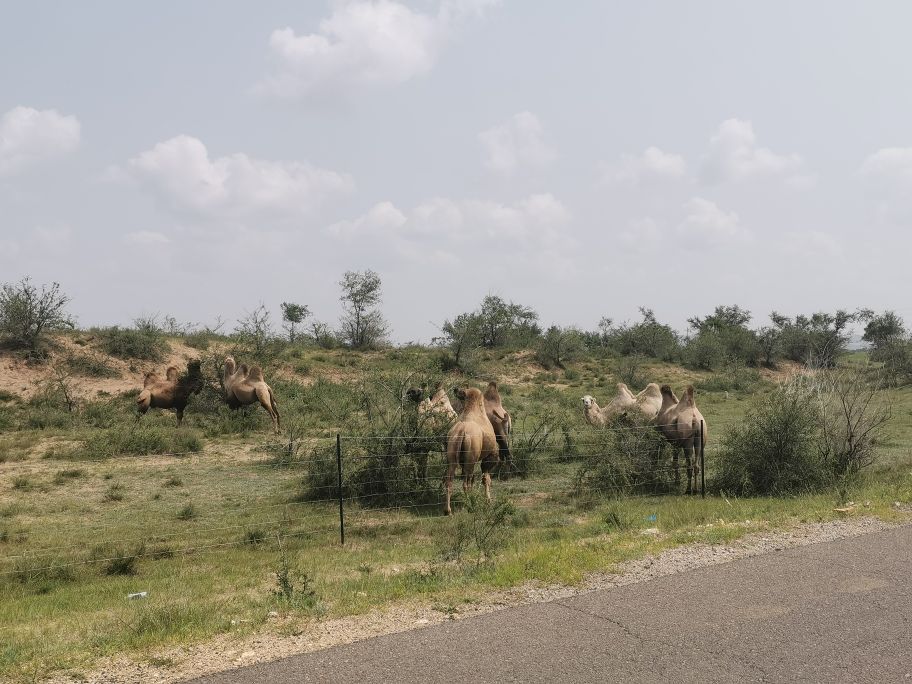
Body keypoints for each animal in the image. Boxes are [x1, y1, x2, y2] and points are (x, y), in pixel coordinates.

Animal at [444, 388, 498, 516]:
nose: (456, 390)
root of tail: (461, 432)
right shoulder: (489, 456)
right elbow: (486, 479)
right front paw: (488, 501)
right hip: (471, 459)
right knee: (466, 482)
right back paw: (469, 504)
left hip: (452, 455)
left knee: (450, 481)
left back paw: (448, 510)